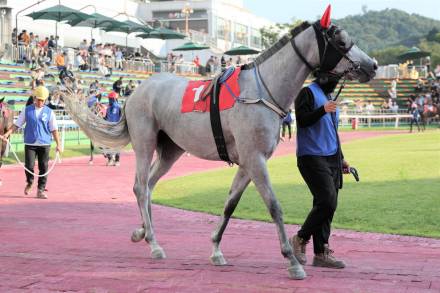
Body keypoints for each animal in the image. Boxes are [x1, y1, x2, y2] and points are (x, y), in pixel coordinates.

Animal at [63, 8, 376, 280]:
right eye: (341, 40)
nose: (372, 65)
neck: (261, 91)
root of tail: (138, 90)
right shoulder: (255, 159)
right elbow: (274, 206)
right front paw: (292, 260)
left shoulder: (248, 162)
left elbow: (229, 205)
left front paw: (215, 249)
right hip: (145, 142)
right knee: (140, 187)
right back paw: (153, 243)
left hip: (171, 149)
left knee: (149, 187)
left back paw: (142, 232)